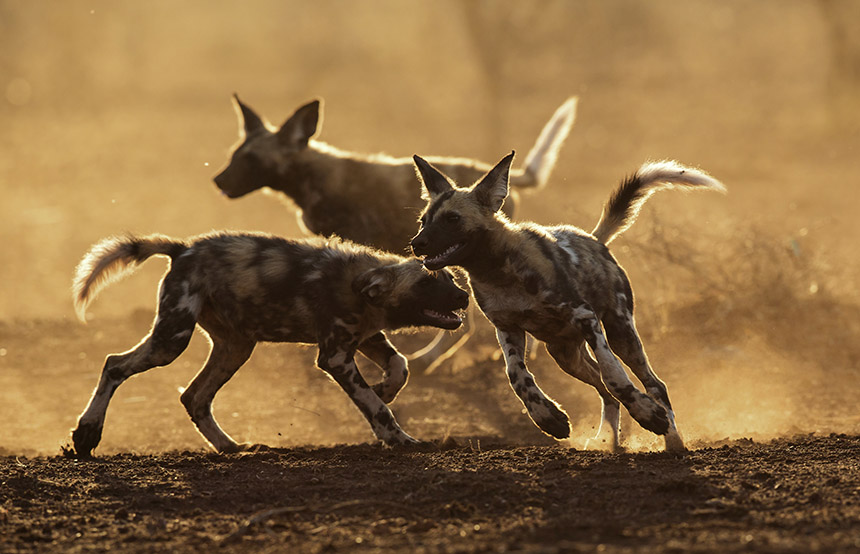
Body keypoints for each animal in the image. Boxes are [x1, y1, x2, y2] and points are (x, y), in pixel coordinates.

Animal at [67, 231, 470, 454]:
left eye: (450, 278)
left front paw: (386, 388)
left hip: (235, 348)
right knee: (114, 364)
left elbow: (400, 365)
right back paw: (86, 434)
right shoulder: (336, 357)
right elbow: (377, 409)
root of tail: (183, 249)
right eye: (427, 283)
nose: (465, 297)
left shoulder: (366, 338)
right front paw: (399, 438)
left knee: (194, 397)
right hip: (172, 340)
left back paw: (230, 447)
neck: (357, 284)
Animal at [410, 150, 724, 448]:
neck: (497, 270)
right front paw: (548, 418)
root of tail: (594, 240)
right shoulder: (507, 329)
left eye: (453, 219)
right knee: (604, 392)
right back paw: (608, 440)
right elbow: (516, 376)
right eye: (423, 221)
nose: (416, 243)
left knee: (651, 384)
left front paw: (649, 415)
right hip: (564, 354)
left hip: (621, 334)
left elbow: (613, 374)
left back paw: (672, 439)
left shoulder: (585, 318)